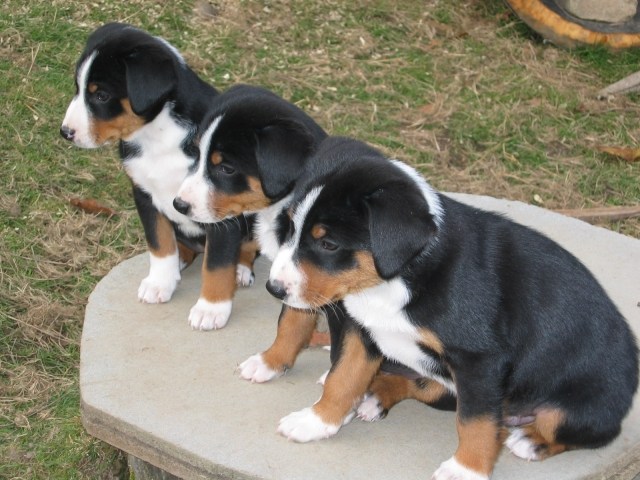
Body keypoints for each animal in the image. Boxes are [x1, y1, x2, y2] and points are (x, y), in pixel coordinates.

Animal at [60, 22, 258, 330]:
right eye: (78, 88)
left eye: (101, 95)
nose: (66, 132)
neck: (158, 136)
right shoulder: (145, 194)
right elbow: (159, 242)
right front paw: (159, 282)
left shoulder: (220, 207)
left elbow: (217, 264)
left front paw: (211, 309)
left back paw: (240, 269)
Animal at [172, 84, 328, 374]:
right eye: (196, 155)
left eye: (226, 168)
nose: (179, 205)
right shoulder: (223, 224)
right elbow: (216, 264)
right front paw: (211, 308)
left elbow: (293, 319)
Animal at [268, 136, 636, 480]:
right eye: (290, 228)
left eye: (329, 244)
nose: (274, 289)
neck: (398, 279)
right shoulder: (362, 329)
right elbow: (344, 376)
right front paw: (317, 421)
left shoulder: (480, 361)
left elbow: (476, 422)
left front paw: (466, 469)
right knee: (420, 386)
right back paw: (374, 393)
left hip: (579, 408)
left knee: (574, 429)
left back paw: (531, 440)